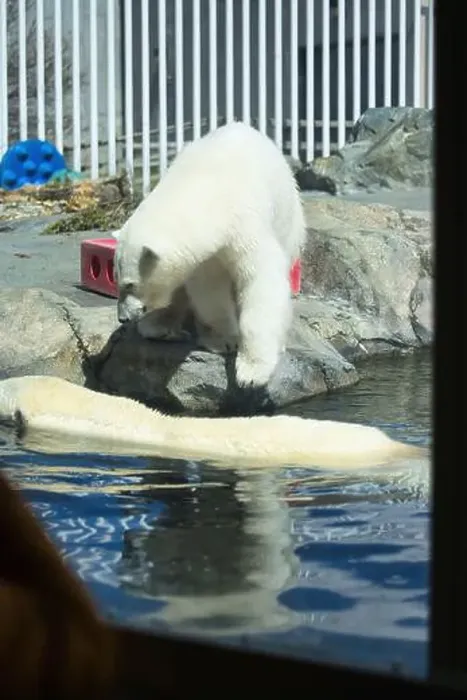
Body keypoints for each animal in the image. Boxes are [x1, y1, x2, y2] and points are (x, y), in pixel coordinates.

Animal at [113, 121, 306, 397]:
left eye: (129, 284)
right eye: (116, 280)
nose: (123, 318)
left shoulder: (246, 223)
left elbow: (260, 282)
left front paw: (251, 374)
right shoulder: (204, 254)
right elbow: (209, 289)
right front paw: (224, 340)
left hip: (288, 220)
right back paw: (159, 325)